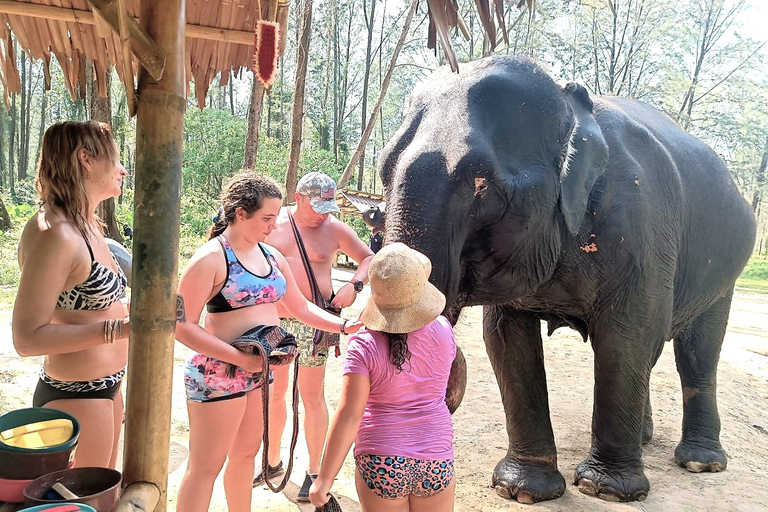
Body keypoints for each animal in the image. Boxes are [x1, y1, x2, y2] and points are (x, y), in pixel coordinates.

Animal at [378, 56, 756, 504]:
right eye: (383, 171)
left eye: (483, 185)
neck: (569, 103)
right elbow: (506, 341)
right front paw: (521, 490)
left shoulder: (641, 227)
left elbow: (625, 337)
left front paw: (605, 490)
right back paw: (645, 439)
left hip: (724, 272)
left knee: (697, 353)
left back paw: (701, 462)